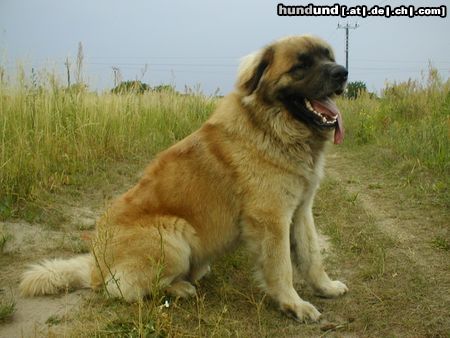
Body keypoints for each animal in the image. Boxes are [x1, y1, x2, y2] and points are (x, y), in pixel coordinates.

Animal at [21, 35, 350, 322]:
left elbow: (311, 256)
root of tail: (95, 264)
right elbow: (283, 267)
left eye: (329, 56)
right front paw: (294, 305)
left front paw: (325, 287)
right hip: (175, 235)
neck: (272, 126)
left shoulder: (301, 211)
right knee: (123, 288)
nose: (342, 72)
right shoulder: (271, 219)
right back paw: (180, 287)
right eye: (301, 65)